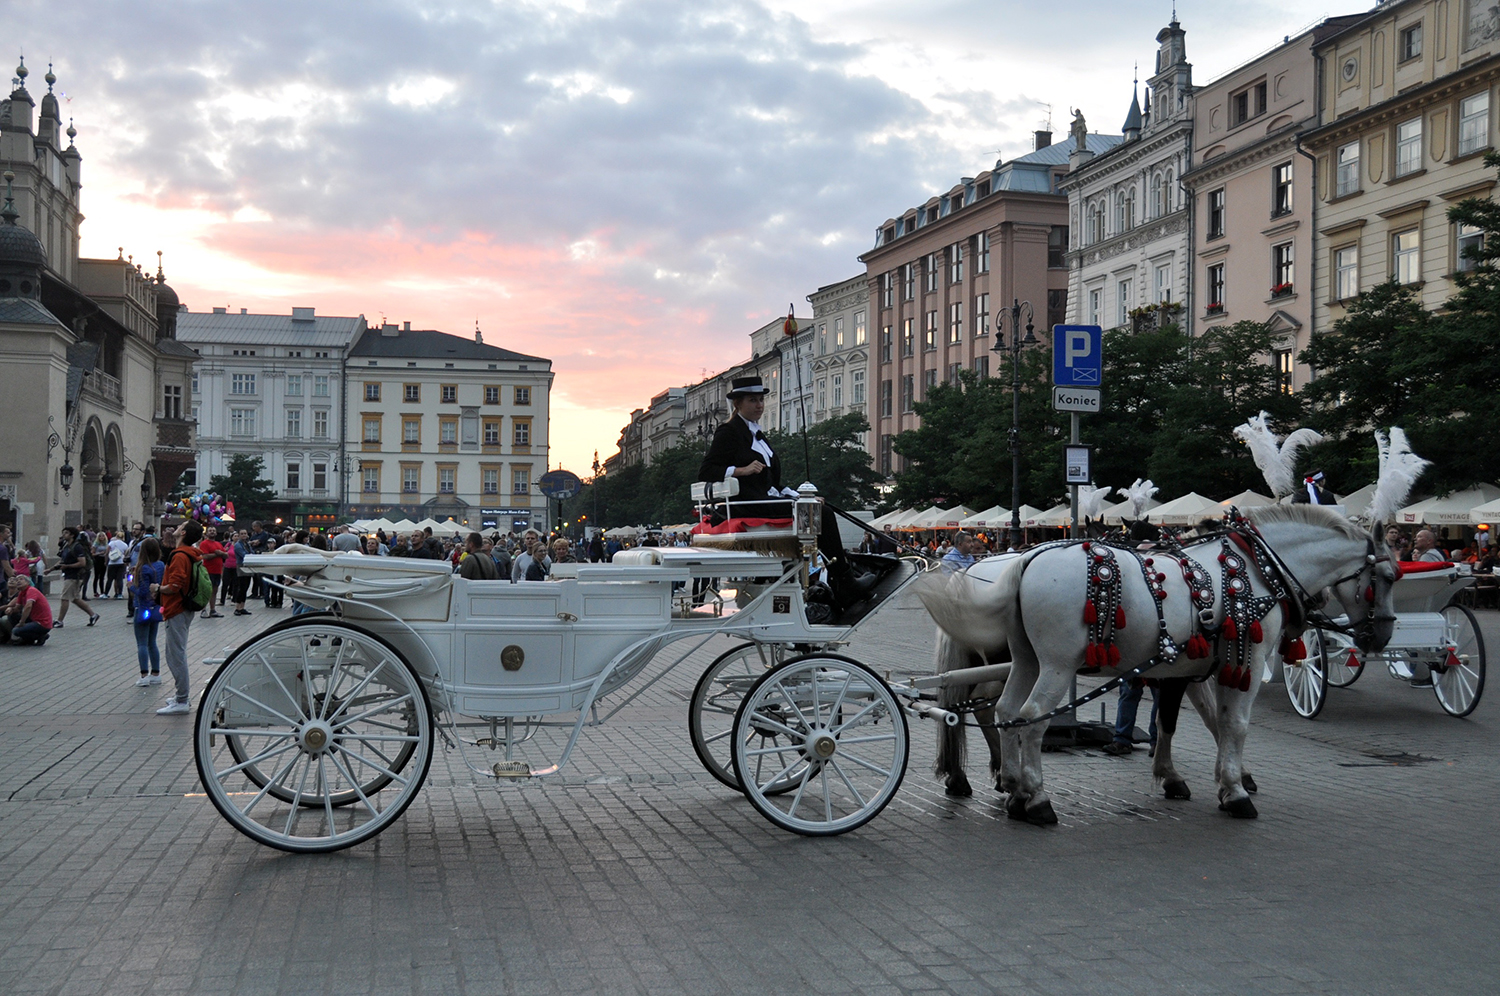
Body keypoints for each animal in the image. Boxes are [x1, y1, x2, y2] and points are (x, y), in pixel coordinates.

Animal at [918, 507, 1398, 822]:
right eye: (1390, 577)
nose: (1381, 636)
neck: (1258, 568)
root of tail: (1022, 559)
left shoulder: (1184, 668)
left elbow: (1185, 720)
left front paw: (1186, 778)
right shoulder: (1244, 660)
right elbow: (1233, 723)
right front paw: (1235, 790)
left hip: (1026, 660)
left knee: (1003, 712)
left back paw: (1010, 786)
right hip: (1054, 663)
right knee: (1029, 716)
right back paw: (1033, 799)